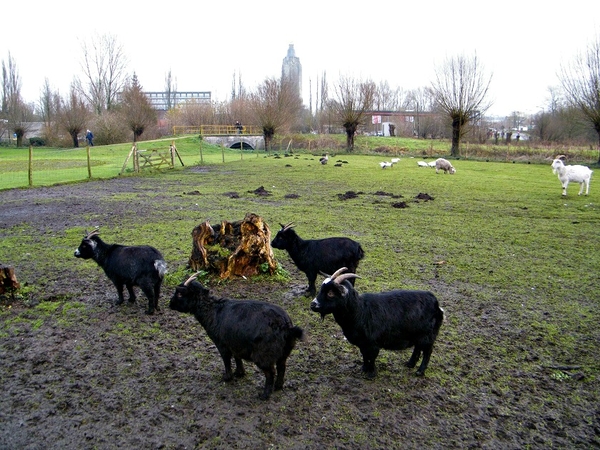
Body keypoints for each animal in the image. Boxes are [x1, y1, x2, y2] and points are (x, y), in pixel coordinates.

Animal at [169, 272, 304, 400]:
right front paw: (239, 373)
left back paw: (265, 395)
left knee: (270, 372)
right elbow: (237, 357)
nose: (170, 304)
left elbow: (226, 360)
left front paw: (227, 377)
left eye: (180, 294)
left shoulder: (222, 344)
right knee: (282, 367)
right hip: (284, 351)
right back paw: (278, 386)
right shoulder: (235, 343)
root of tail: (286, 326)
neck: (212, 310)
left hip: (263, 354)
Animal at [312, 268, 442, 378]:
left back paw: (420, 371)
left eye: (330, 293)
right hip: (418, 334)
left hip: (428, 335)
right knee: (417, 348)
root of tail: (436, 304)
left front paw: (371, 374)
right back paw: (410, 364)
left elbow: (372, 357)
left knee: (427, 351)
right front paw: (364, 369)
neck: (360, 311)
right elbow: (364, 356)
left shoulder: (373, 343)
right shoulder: (362, 343)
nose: (313, 304)